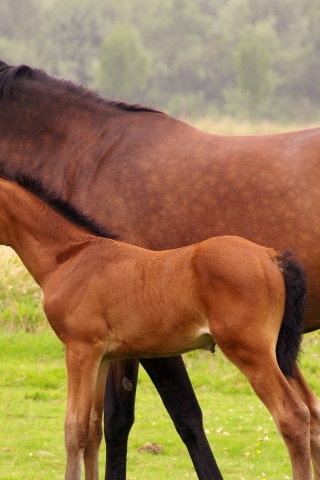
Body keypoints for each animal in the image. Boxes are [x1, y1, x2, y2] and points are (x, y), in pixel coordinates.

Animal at [0, 62, 318, 478]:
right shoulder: (102, 354)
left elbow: (78, 427)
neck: (70, 255)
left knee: (292, 417)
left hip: (251, 350)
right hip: (280, 351)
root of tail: (271, 256)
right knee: (310, 415)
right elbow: (93, 429)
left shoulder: (81, 349)